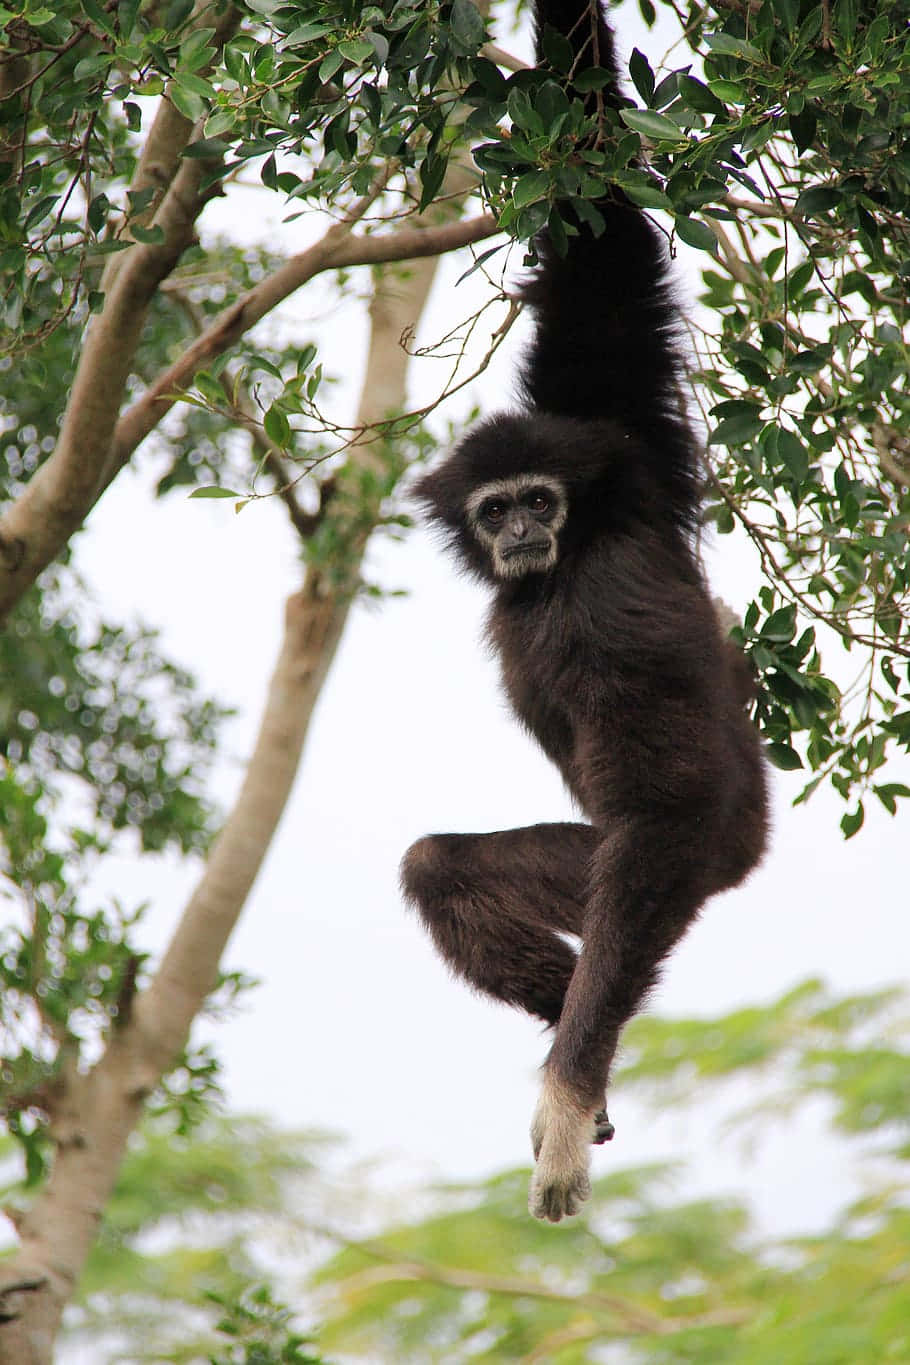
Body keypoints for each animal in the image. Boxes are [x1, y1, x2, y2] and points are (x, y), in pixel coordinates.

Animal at [400, 0, 769, 1222]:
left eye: (539, 502)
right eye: (496, 505)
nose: (518, 533)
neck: (569, 554)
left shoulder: (597, 604)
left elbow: (659, 800)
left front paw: (563, 1102)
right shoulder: (619, 432)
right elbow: (597, 223)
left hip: (698, 859)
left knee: (633, 852)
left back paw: (581, 1066)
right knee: (440, 866)